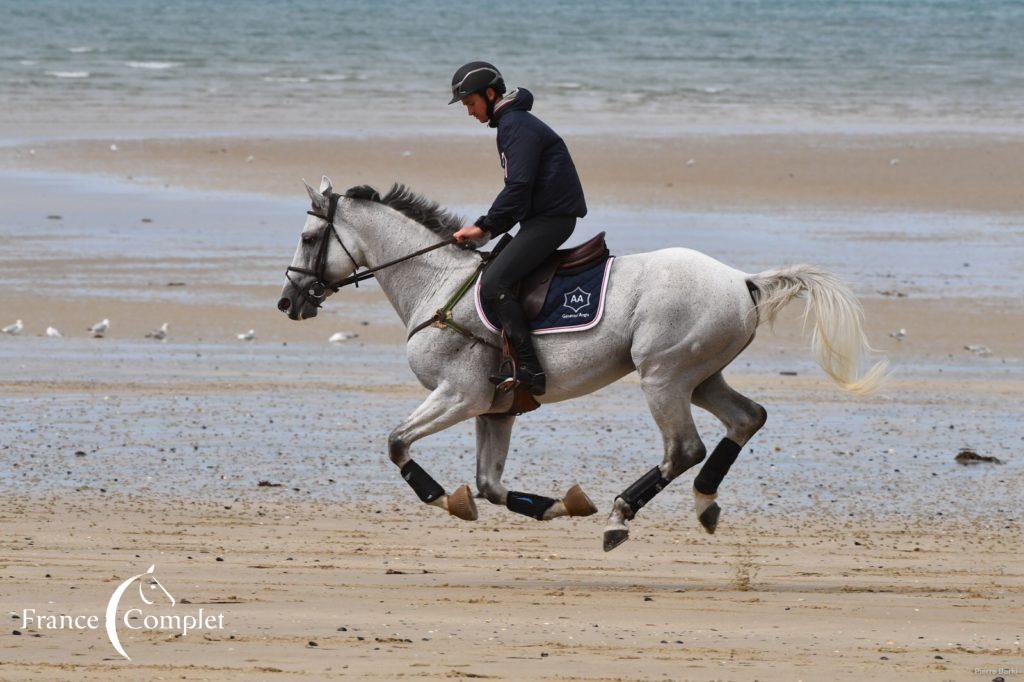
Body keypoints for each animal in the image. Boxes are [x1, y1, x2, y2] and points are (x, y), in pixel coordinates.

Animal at [276, 175, 884, 548]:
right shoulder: (494, 410)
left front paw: (445, 498)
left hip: (662, 376)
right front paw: (560, 505)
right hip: (701, 376)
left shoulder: (459, 396)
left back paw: (621, 516)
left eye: (307, 238)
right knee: (746, 418)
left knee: (684, 448)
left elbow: (398, 443)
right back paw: (704, 502)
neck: (438, 284)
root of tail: (742, 280)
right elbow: (490, 485)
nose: (288, 303)